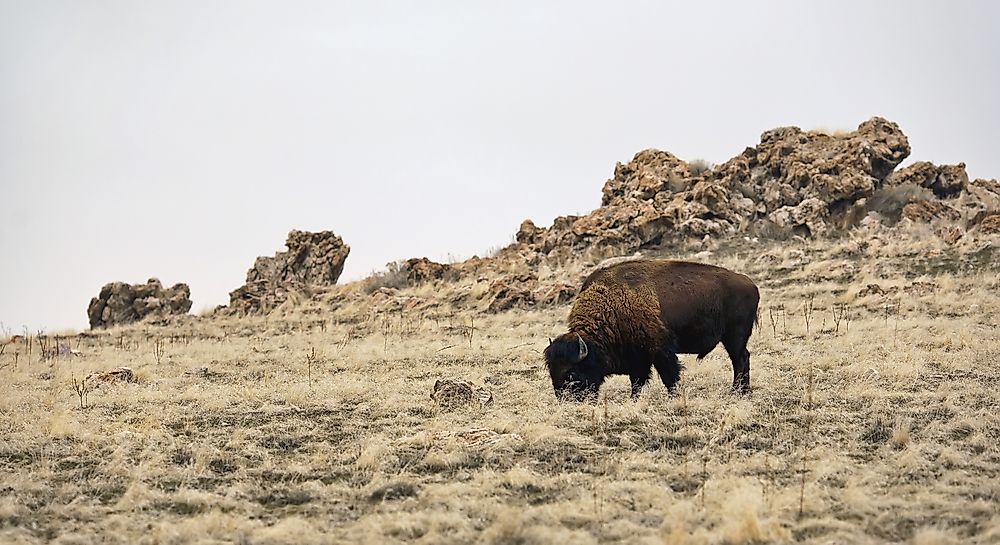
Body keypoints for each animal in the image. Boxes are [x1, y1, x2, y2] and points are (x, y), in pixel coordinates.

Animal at [548, 260, 756, 400]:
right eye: (551, 371)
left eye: (571, 373)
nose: (565, 401)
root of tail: (750, 284)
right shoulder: (638, 358)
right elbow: (637, 382)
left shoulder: (660, 352)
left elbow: (668, 377)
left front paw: (673, 397)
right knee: (743, 358)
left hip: (734, 337)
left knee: (740, 360)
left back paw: (737, 392)